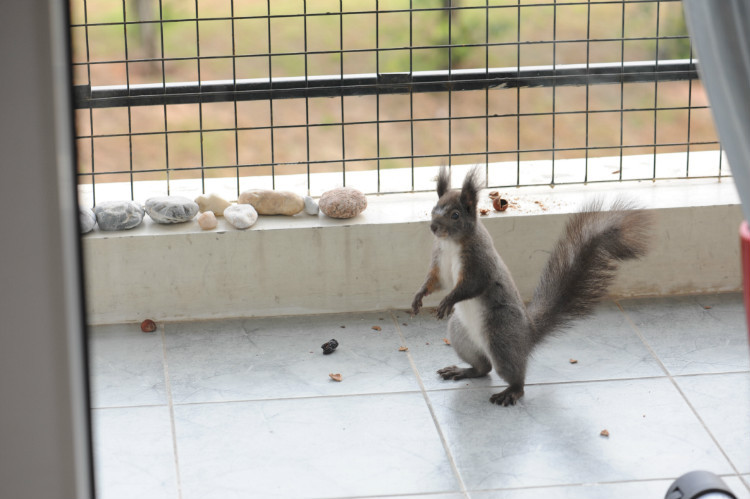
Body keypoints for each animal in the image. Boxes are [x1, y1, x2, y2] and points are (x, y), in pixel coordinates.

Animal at [412, 167, 652, 406]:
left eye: (455, 215)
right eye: (433, 209)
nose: (433, 227)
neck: (451, 244)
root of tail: (528, 334)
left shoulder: (479, 262)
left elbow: (471, 286)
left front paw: (447, 301)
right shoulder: (440, 261)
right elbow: (435, 281)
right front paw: (419, 296)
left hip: (500, 337)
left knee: (513, 375)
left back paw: (511, 391)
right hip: (461, 335)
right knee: (483, 367)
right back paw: (463, 371)